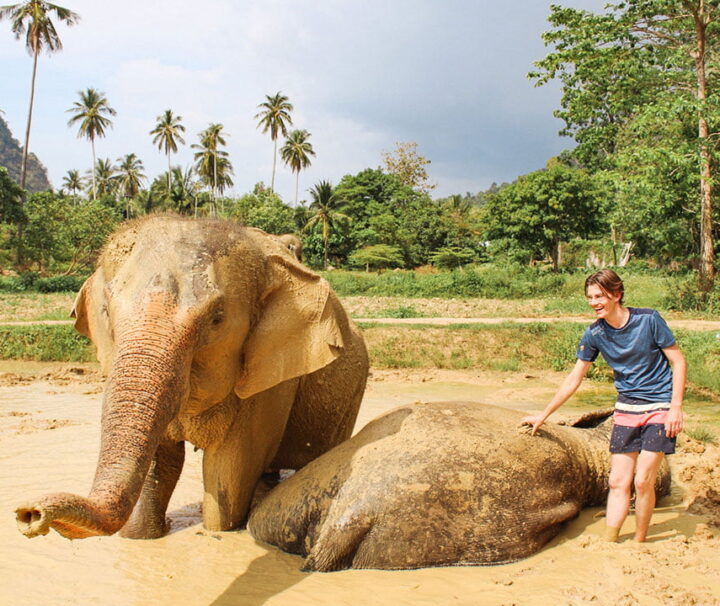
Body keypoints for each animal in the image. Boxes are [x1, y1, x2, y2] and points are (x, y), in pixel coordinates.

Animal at [15, 216, 369, 540]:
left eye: (217, 319)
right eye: (106, 311)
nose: (29, 514)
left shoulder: (271, 382)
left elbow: (227, 473)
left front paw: (219, 531)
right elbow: (159, 462)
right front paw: (144, 535)